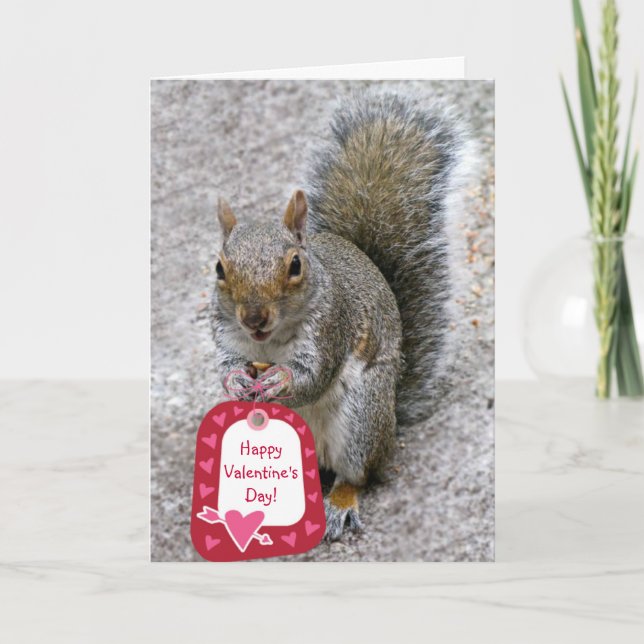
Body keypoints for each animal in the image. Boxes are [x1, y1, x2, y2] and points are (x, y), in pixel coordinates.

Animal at [211, 92, 471, 540]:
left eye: (295, 265)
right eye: (219, 269)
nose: (254, 318)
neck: (269, 343)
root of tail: (391, 421)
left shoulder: (332, 327)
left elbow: (313, 378)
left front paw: (281, 380)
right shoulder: (227, 335)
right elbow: (226, 364)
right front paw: (235, 381)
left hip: (361, 421)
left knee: (357, 474)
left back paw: (340, 503)